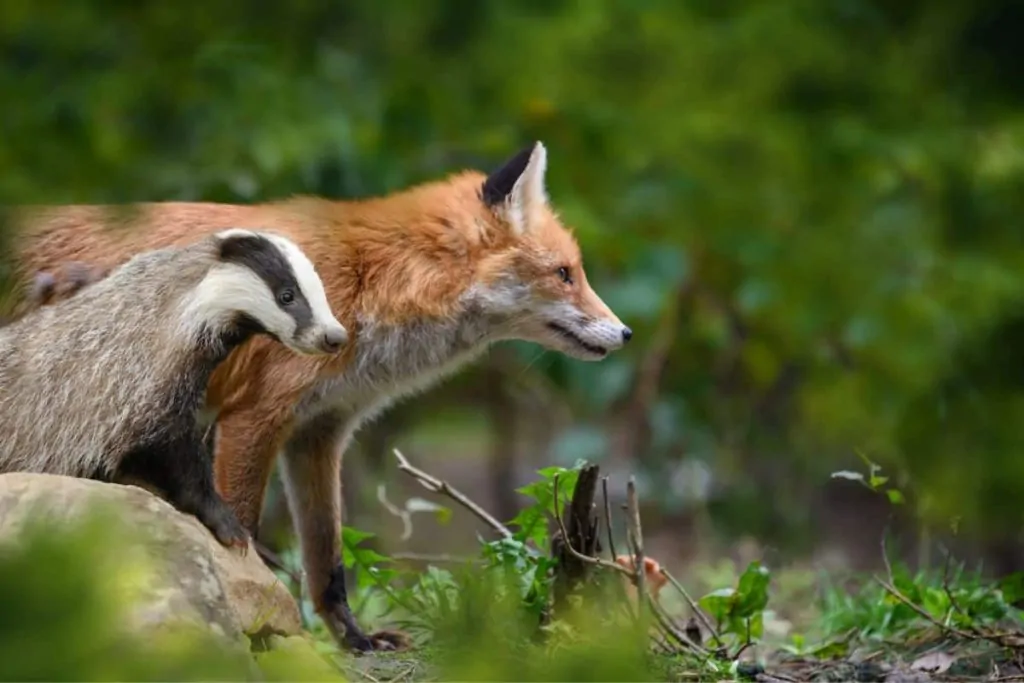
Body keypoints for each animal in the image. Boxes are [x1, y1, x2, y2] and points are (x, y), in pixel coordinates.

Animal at [8, 141, 630, 655]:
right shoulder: (252, 418)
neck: (369, 281)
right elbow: (243, 531)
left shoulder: (320, 432)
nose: (625, 333)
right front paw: (262, 628)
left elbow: (327, 562)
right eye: (565, 274)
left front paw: (353, 640)